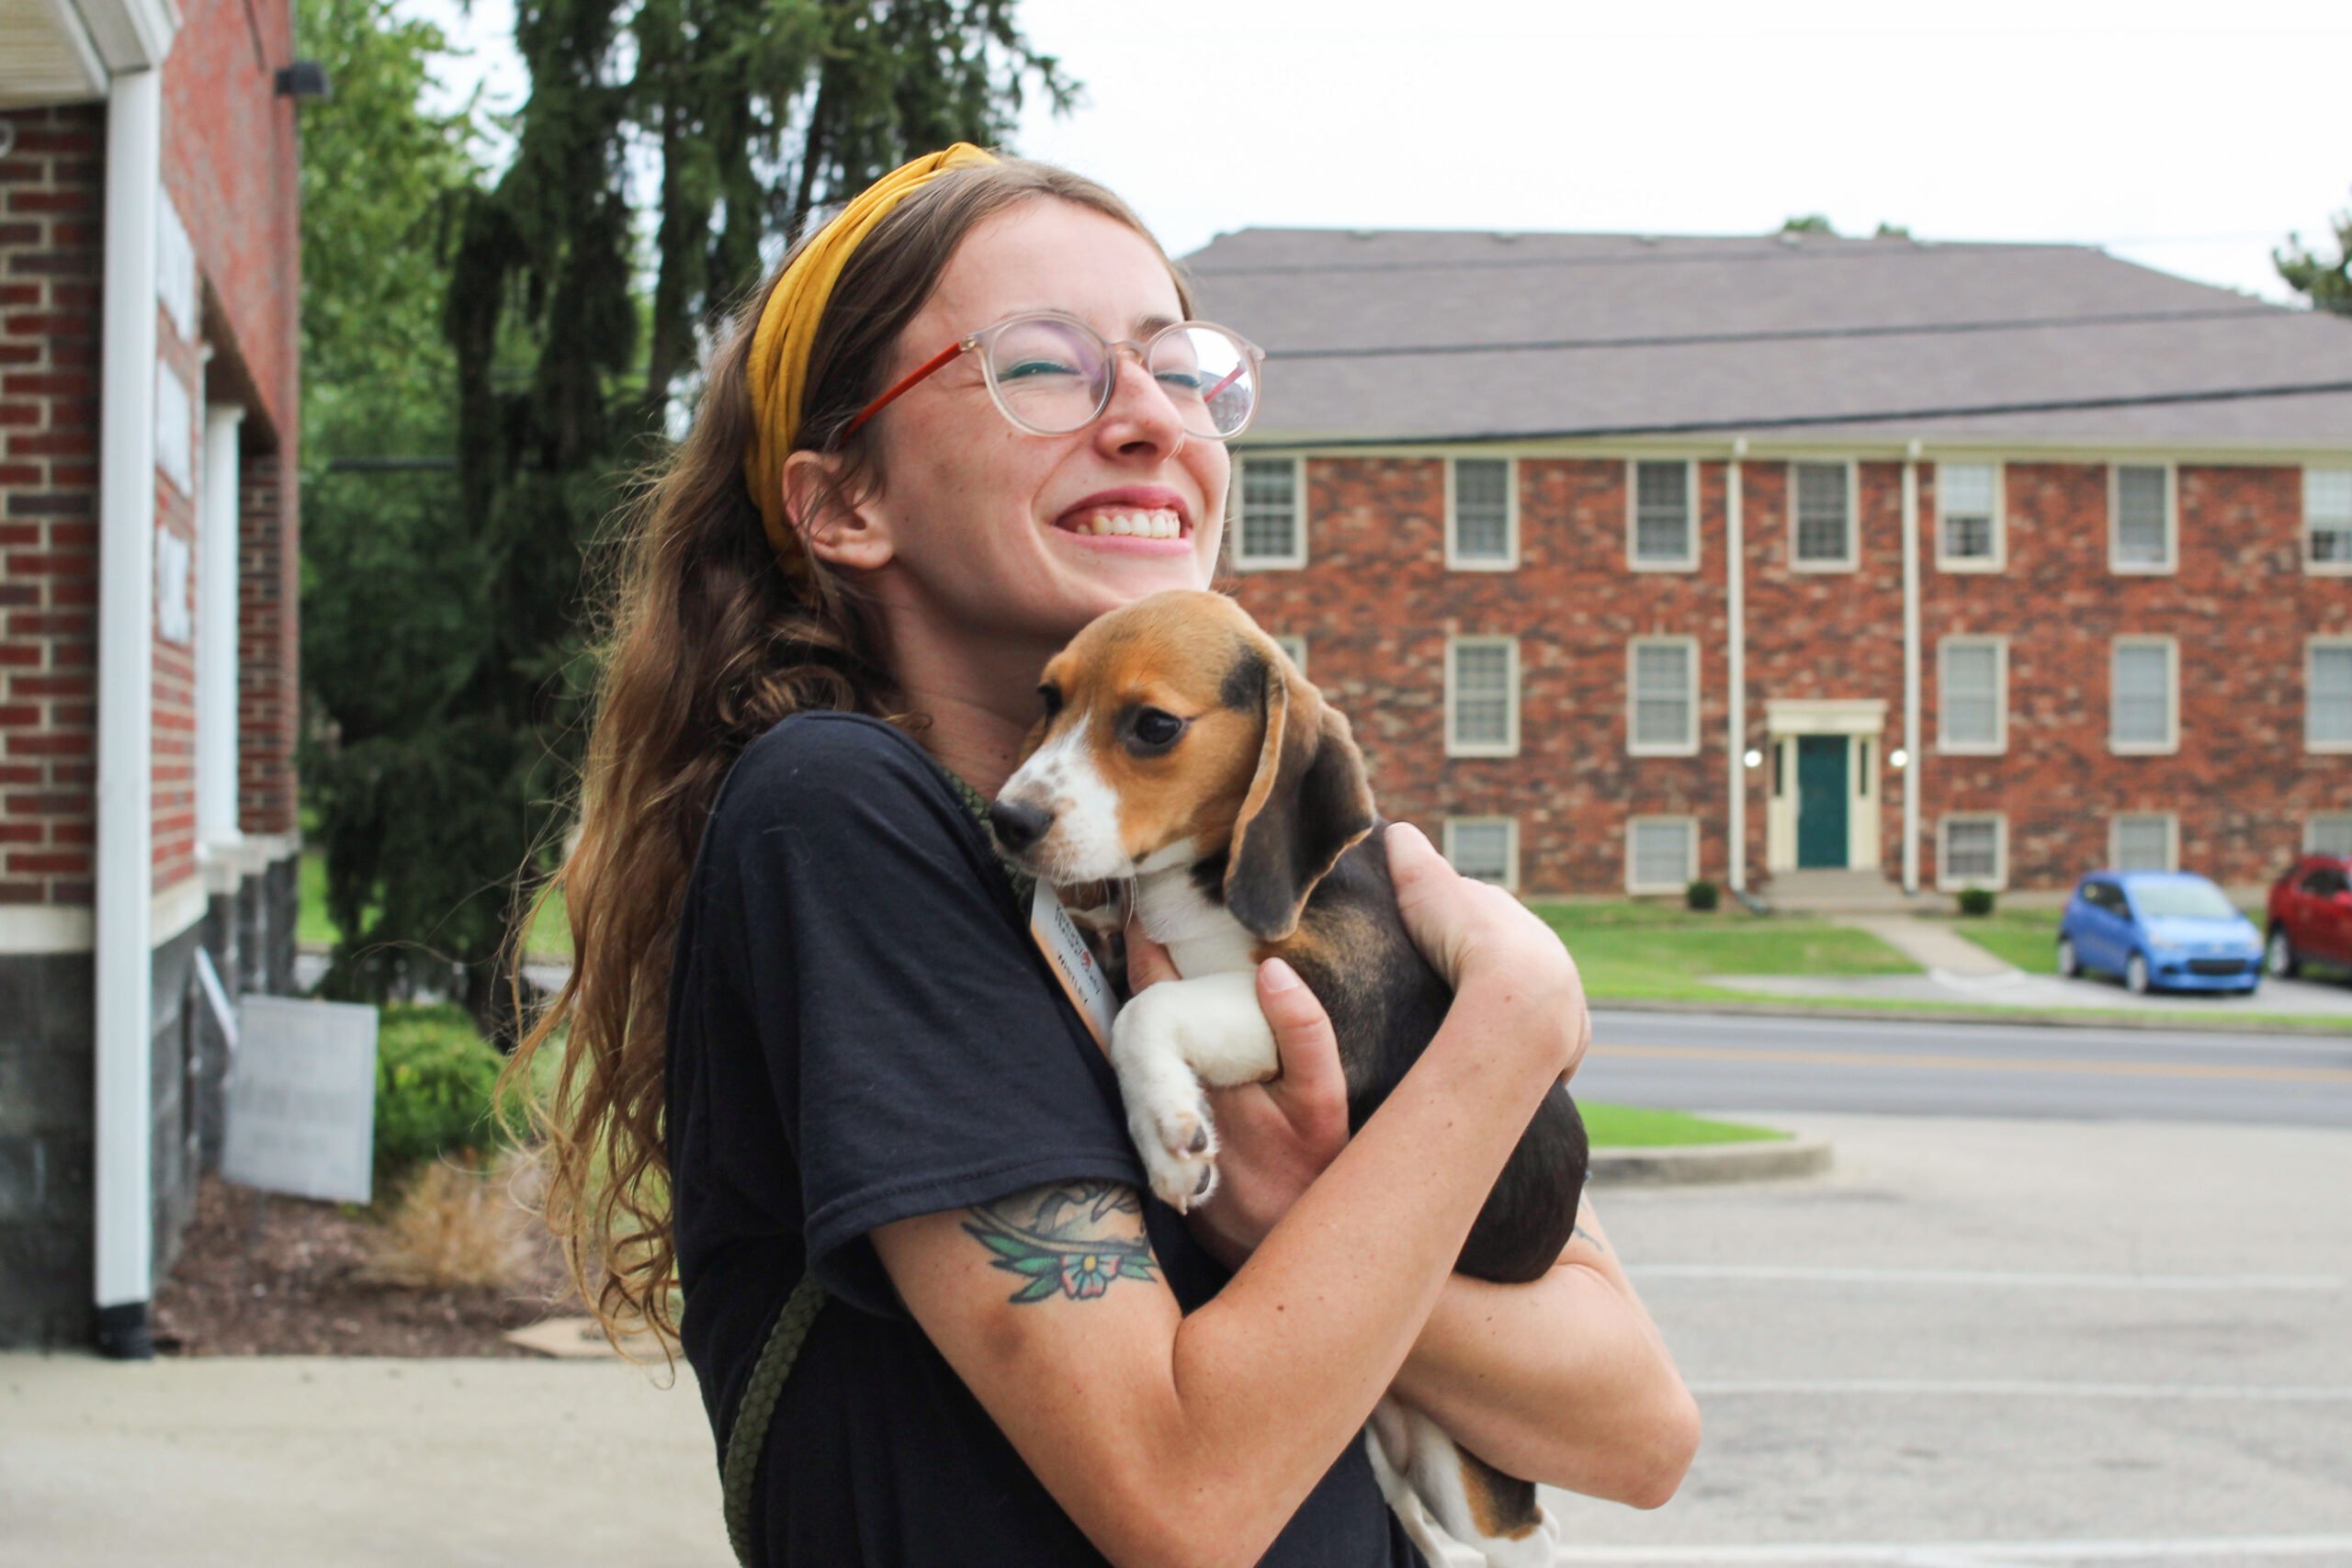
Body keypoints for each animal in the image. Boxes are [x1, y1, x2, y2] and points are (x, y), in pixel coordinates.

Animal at [989, 589, 1589, 1568]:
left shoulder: (1335, 1009)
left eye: (1154, 726)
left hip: (1471, 1485)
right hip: (1389, 1448)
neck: (1196, 884)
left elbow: (1150, 1010)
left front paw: (1170, 1137)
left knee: (1521, 1534)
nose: (1009, 819)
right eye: (1049, 697)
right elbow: (1131, 981)